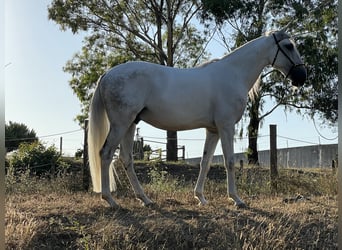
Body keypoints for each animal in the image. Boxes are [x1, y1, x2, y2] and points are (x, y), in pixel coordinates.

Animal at [88, 29, 308, 209]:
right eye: (288, 46)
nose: (302, 77)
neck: (234, 73)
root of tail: (107, 74)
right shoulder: (226, 127)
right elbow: (229, 161)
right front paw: (236, 199)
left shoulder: (213, 130)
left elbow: (205, 162)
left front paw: (200, 197)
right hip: (120, 124)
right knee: (106, 154)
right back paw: (110, 200)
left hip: (130, 124)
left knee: (126, 159)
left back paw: (145, 199)